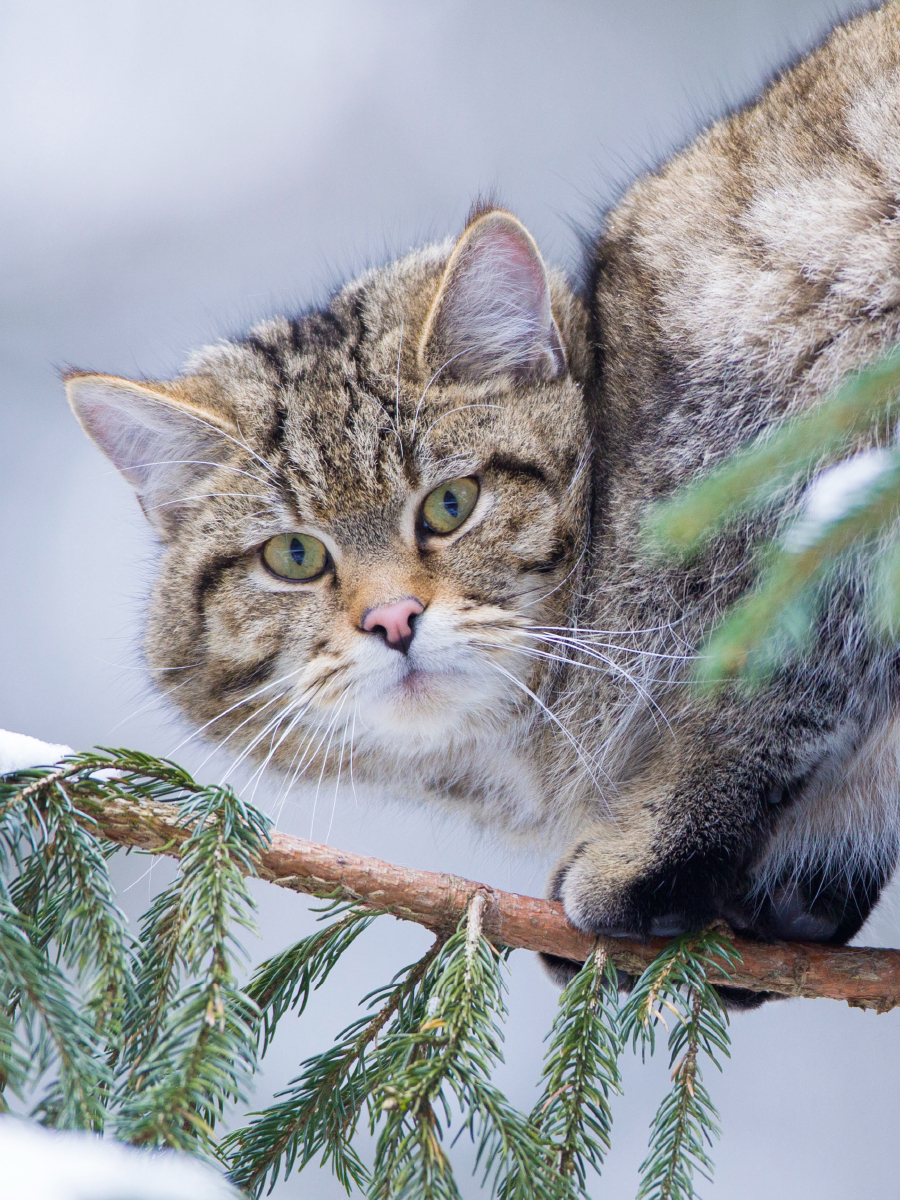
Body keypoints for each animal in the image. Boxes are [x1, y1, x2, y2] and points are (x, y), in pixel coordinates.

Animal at [65, 4, 900, 998]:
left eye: (452, 504)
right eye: (294, 556)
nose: (392, 619)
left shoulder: (818, 445)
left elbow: (763, 694)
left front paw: (651, 860)